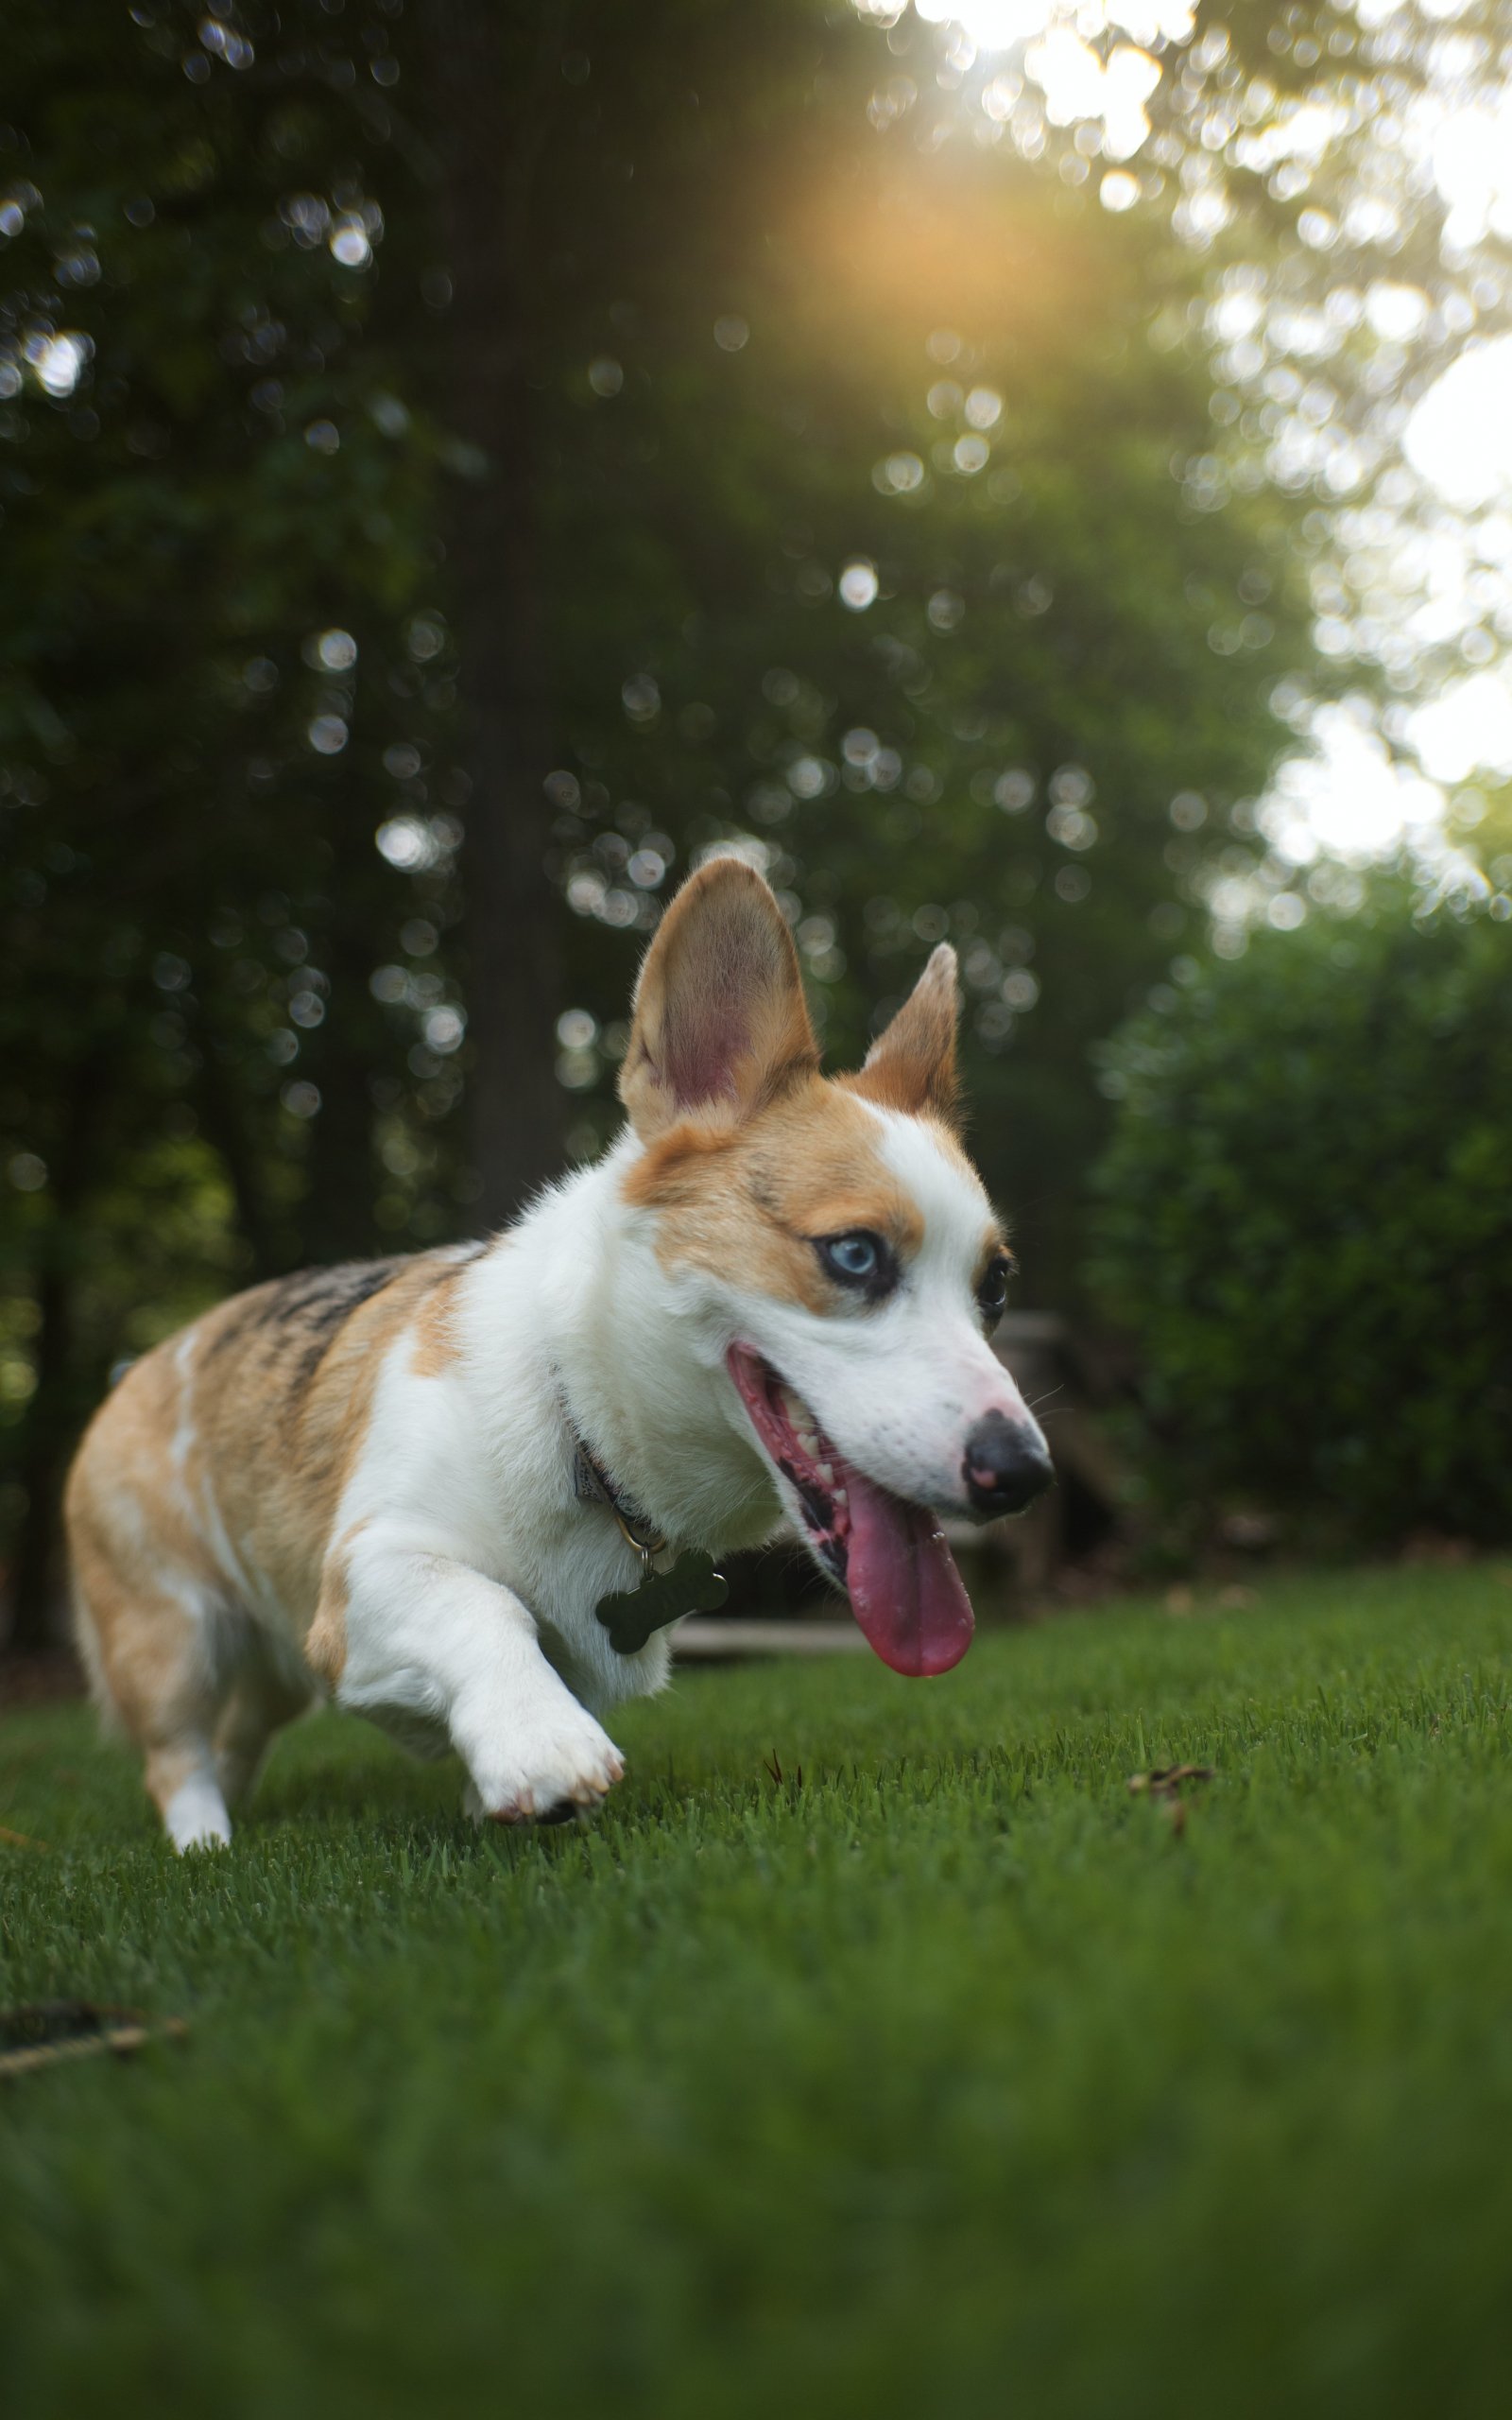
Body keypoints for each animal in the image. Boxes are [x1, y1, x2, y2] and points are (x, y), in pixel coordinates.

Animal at [66, 857, 1054, 1849]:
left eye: (996, 1286)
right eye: (854, 1254)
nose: (1023, 1475)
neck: (580, 1422)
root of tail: (149, 1360)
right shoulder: (365, 1573)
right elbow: (484, 1605)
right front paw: (539, 1744)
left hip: (271, 1675)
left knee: (239, 1737)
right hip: (177, 1640)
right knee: (178, 1756)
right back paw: (204, 1846)